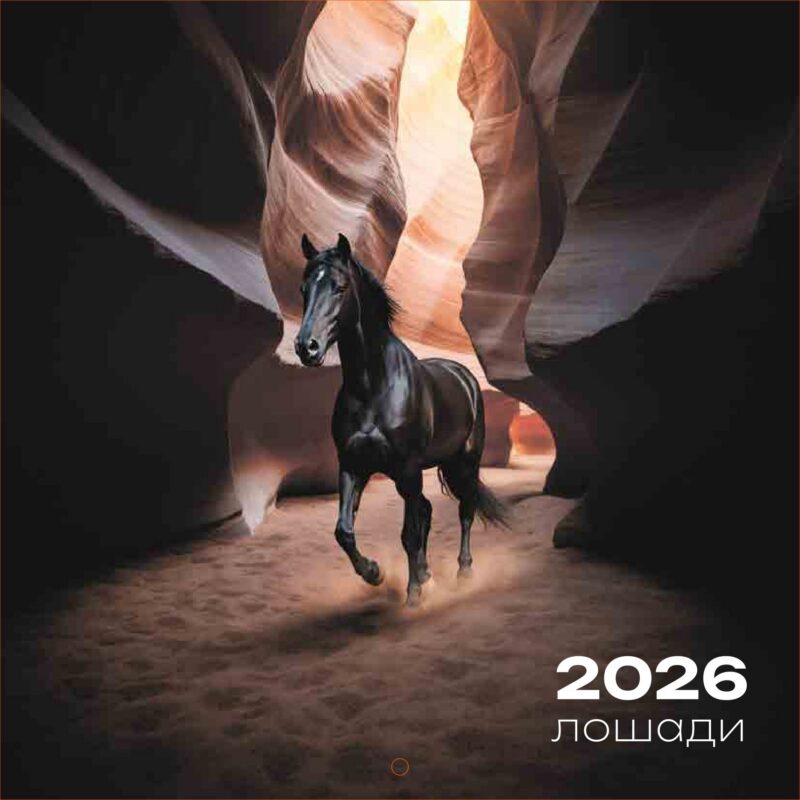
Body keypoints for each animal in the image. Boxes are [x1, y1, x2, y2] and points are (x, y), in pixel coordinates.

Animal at [294, 233, 508, 606]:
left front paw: (413, 596)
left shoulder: (408, 468)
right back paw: (427, 573)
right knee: (426, 510)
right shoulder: (353, 465)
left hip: (463, 463)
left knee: (464, 510)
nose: (307, 347)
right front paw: (375, 573)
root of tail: (464, 377)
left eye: (339, 287)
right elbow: (344, 530)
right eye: (305, 288)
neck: (372, 387)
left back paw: (463, 572)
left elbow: (408, 533)